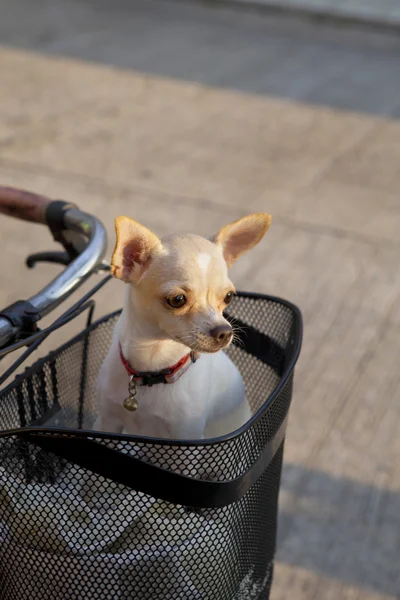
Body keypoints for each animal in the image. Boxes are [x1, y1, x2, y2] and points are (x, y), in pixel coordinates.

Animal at [95, 213, 272, 438]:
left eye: (229, 297)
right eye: (177, 300)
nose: (224, 332)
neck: (153, 366)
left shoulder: (187, 437)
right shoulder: (106, 422)